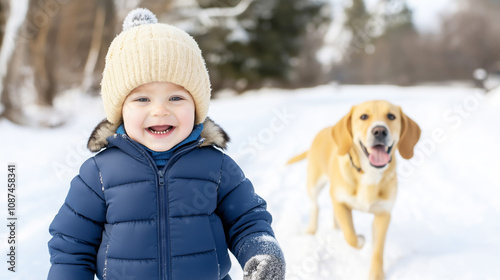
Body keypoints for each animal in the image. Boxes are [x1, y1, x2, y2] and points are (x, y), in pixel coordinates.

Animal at [288, 100, 420, 280]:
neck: (369, 173)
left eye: (391, 116)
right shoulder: (341, 203)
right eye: (363, 117)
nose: (380, 131)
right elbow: (350, 236)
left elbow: (377, 250)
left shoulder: (383, 215)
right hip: (314, 184)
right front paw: (360, 239)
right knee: (315, 206)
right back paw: (311, 230)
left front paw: (376, 275)